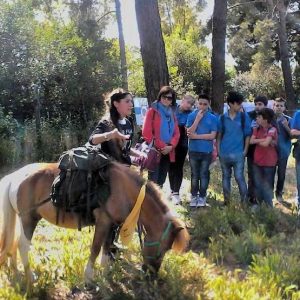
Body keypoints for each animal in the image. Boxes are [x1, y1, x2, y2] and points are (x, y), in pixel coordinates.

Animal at [0, 163, 190, 290]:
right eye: (164, 248)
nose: (152, 275)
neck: (124, 191)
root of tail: (15, 177)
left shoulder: (111, 225)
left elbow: (106, 248)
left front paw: (106, 274)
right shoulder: (103, 222)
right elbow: (96, 248)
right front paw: (89, 278)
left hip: (22, 219)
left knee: (13, 245)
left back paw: (15, 272)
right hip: (29, 219)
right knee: (22, 246)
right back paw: (30, 277)